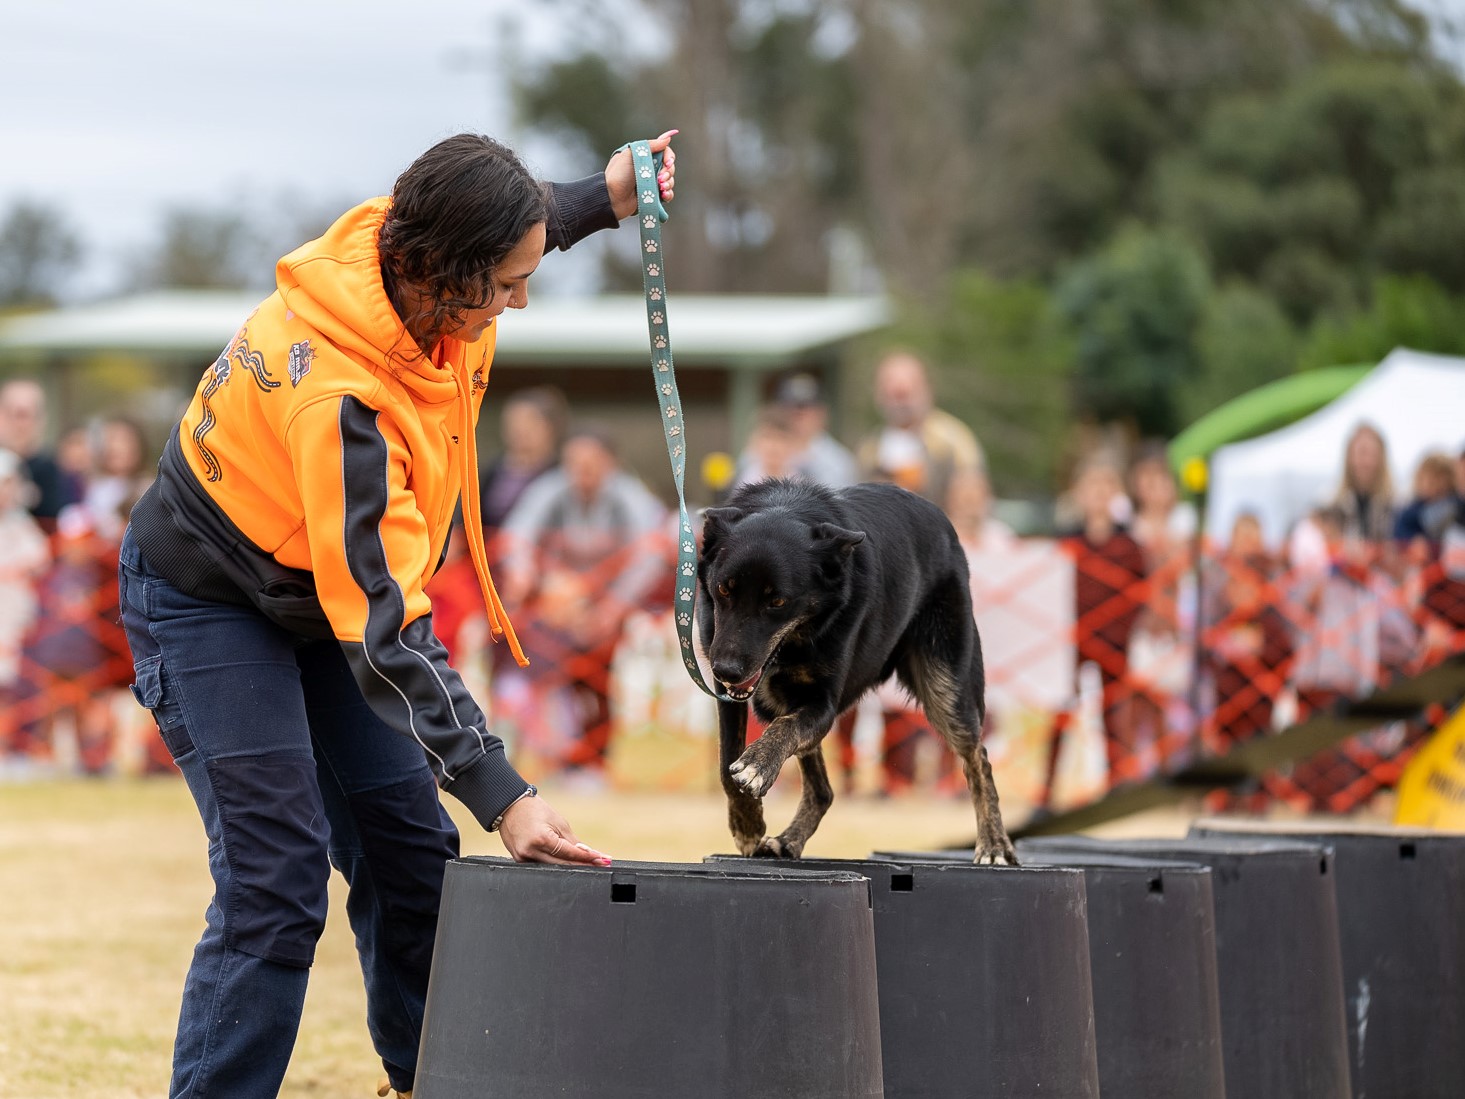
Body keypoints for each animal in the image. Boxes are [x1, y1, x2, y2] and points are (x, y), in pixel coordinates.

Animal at [697, 480, 1019, 867]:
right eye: (723, 589)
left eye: (777, 602)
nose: (726, 670)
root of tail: (941, 519)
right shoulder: (730, 697)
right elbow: (726, 760)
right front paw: (747, 822)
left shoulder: (822, 704)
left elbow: (784, 731)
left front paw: (757, 767)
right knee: (823, 791)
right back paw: (788, 841)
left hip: (947, 689)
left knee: (978, 759)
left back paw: (994, 845)